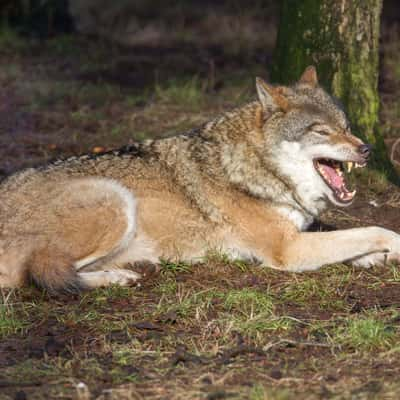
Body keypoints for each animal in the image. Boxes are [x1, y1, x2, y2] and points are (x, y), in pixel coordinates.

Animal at [0, 65, 400, 290]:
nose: (367, 150)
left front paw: (375, 258)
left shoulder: (300, 235)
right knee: (38, 276)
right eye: (322, 131)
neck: (259, 167)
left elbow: (353, 238)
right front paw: (390, 249)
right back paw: (114, 279)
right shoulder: (287, 249)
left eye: (346, 127)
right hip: (116, 201)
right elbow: (375, 229)